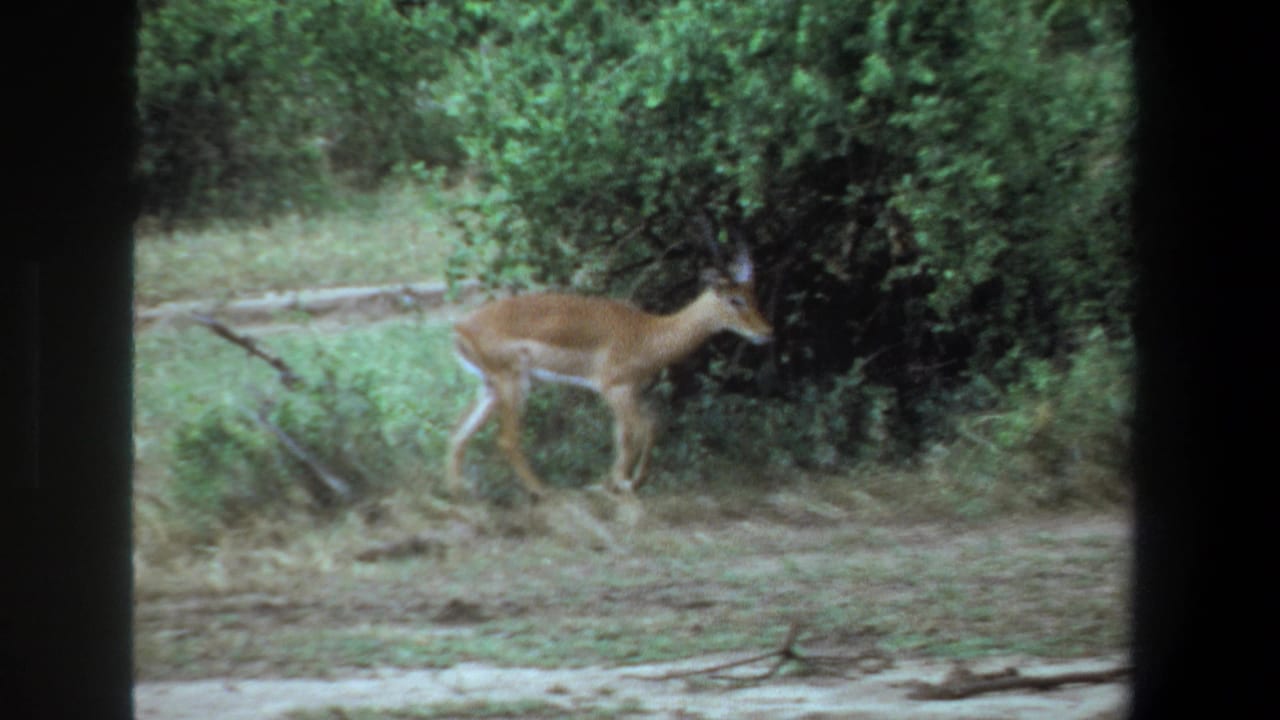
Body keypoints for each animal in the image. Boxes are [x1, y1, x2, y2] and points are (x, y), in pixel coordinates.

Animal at [445, 246, 773, 500]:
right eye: (735, 299)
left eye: (754, 295)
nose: (766, 332)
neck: (648, 333)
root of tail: (460, 328)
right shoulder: (616, 389)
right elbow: (635, 436)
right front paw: (618, 485)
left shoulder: (630, 392)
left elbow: (636, 432)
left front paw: (615, 483)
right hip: (514, 384)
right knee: (506, 439)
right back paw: (543, 492)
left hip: (491, 388)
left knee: (460, 431)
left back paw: (460, 493)